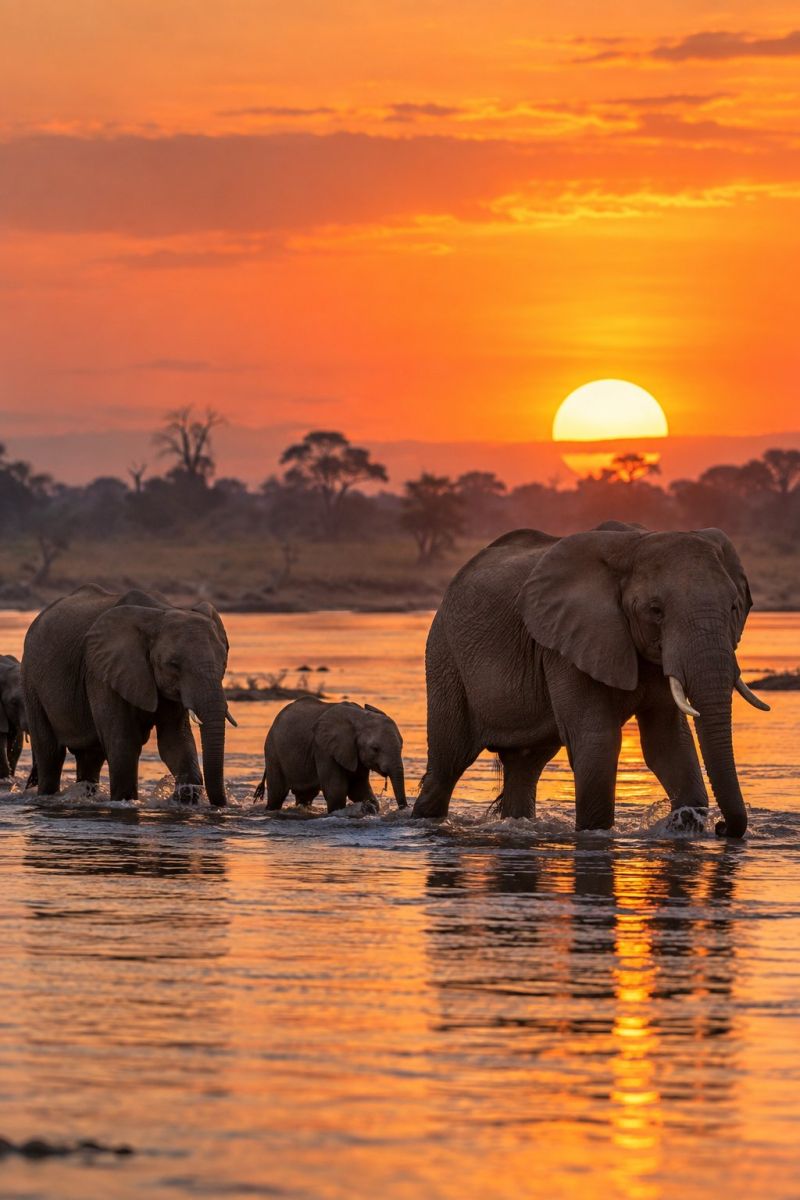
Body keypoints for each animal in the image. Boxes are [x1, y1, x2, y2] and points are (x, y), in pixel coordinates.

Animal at [22, 585, 235, 806]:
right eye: (173, 665)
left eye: (224, 662)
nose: (219, 804)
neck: (160, 613)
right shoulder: (101, 672)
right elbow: (123, 744)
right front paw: (125, 802)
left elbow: (175, 740)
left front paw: (184, 797)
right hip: (31, 682)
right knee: (50, 753)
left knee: (90, 757)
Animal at [253, 697, 406, 813]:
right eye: (375, 749)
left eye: (401, 746)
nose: (403, 809)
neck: (360, 717)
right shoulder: (323, 749)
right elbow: (337, 791)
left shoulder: (354, 752)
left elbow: (359, 789)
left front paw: (370, 808)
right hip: (273, 751)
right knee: (277, 794)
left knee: (305, 795)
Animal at [412, 523, 769, 837]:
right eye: (656, 611)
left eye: (734, 606)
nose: (722, 828)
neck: (635, 543)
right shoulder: (564, 645)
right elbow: (598, 740)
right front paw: (596, 832)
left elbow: (668, 743)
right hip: (445, 656)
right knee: (447, 764)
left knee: (524, 767)